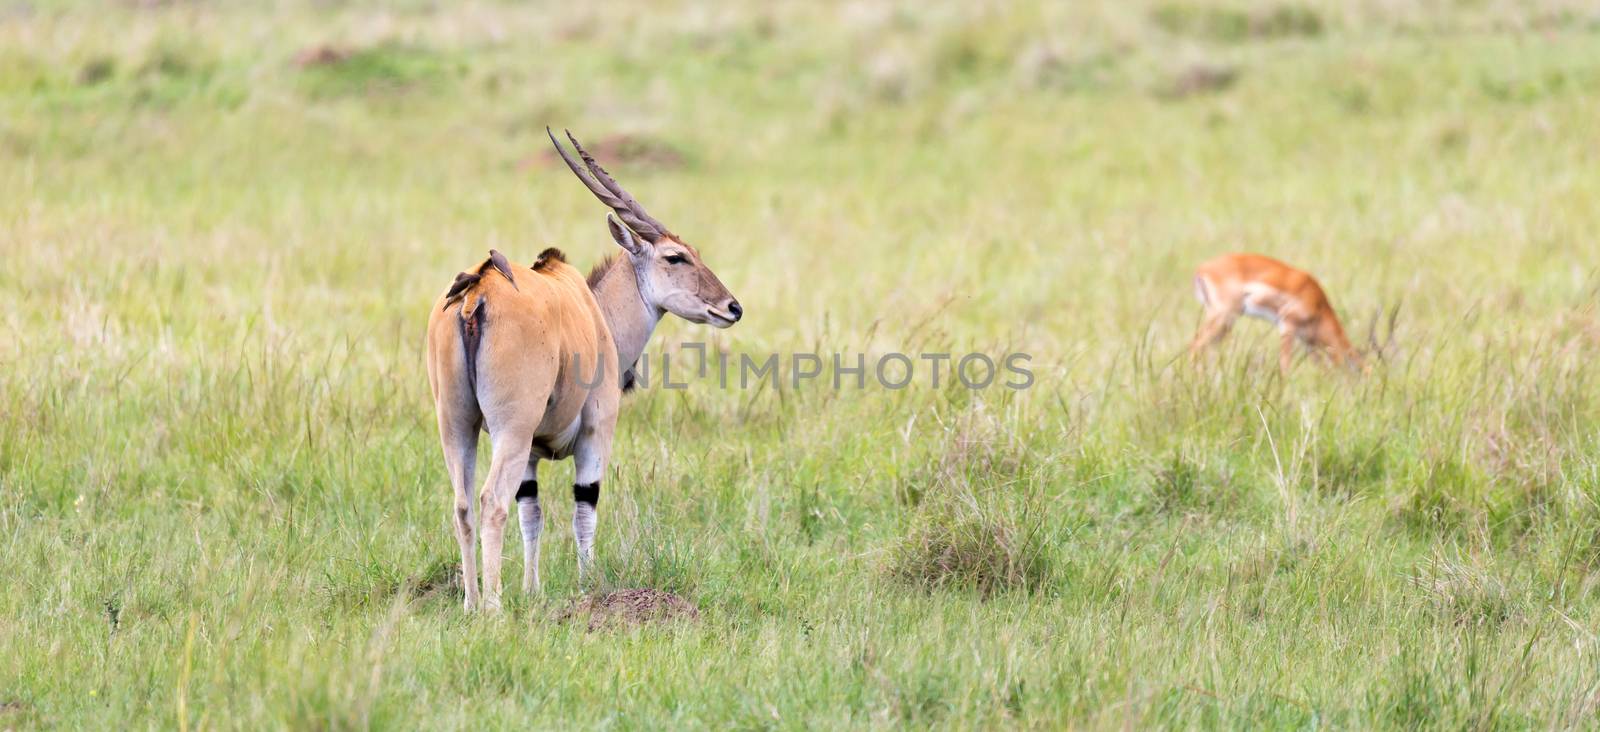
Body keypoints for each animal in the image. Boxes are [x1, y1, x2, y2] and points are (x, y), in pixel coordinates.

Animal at [428, 128, 745, 610]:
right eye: (676, 257)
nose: (732, 307)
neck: (594, 313)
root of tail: (477, 291)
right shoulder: (596, 432)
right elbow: (584, 508)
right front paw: (588, 587)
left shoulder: (531, 455)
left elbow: (532, 513)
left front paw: (532, 588)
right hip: (508, 429)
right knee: (490, 501)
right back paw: (493, 608)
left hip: (457, 425)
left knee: (463, 504)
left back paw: (470, 601)